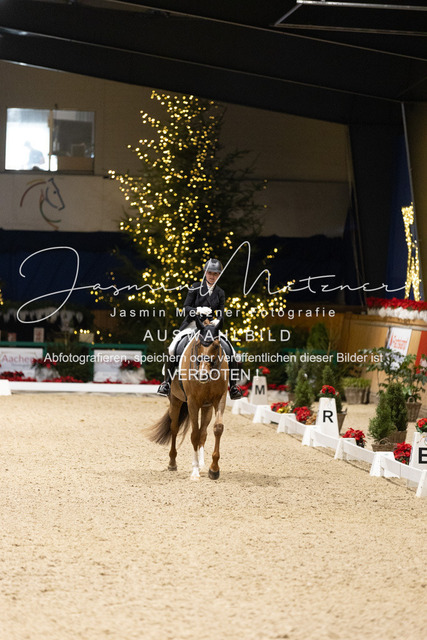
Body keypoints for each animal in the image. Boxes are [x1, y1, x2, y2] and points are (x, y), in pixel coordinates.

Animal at [148, 316, 229, 480]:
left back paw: (203, 464)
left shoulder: (220, 399)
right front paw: (195, 470)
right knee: (174, 428)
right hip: (176, 400)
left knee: (203, 432)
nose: (202, 375)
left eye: (216, 345)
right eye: (198, 345)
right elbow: (194, 435)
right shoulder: (192, 402)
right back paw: (172, 463)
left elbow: (217, 428)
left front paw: (214, 469)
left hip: (206, 407)